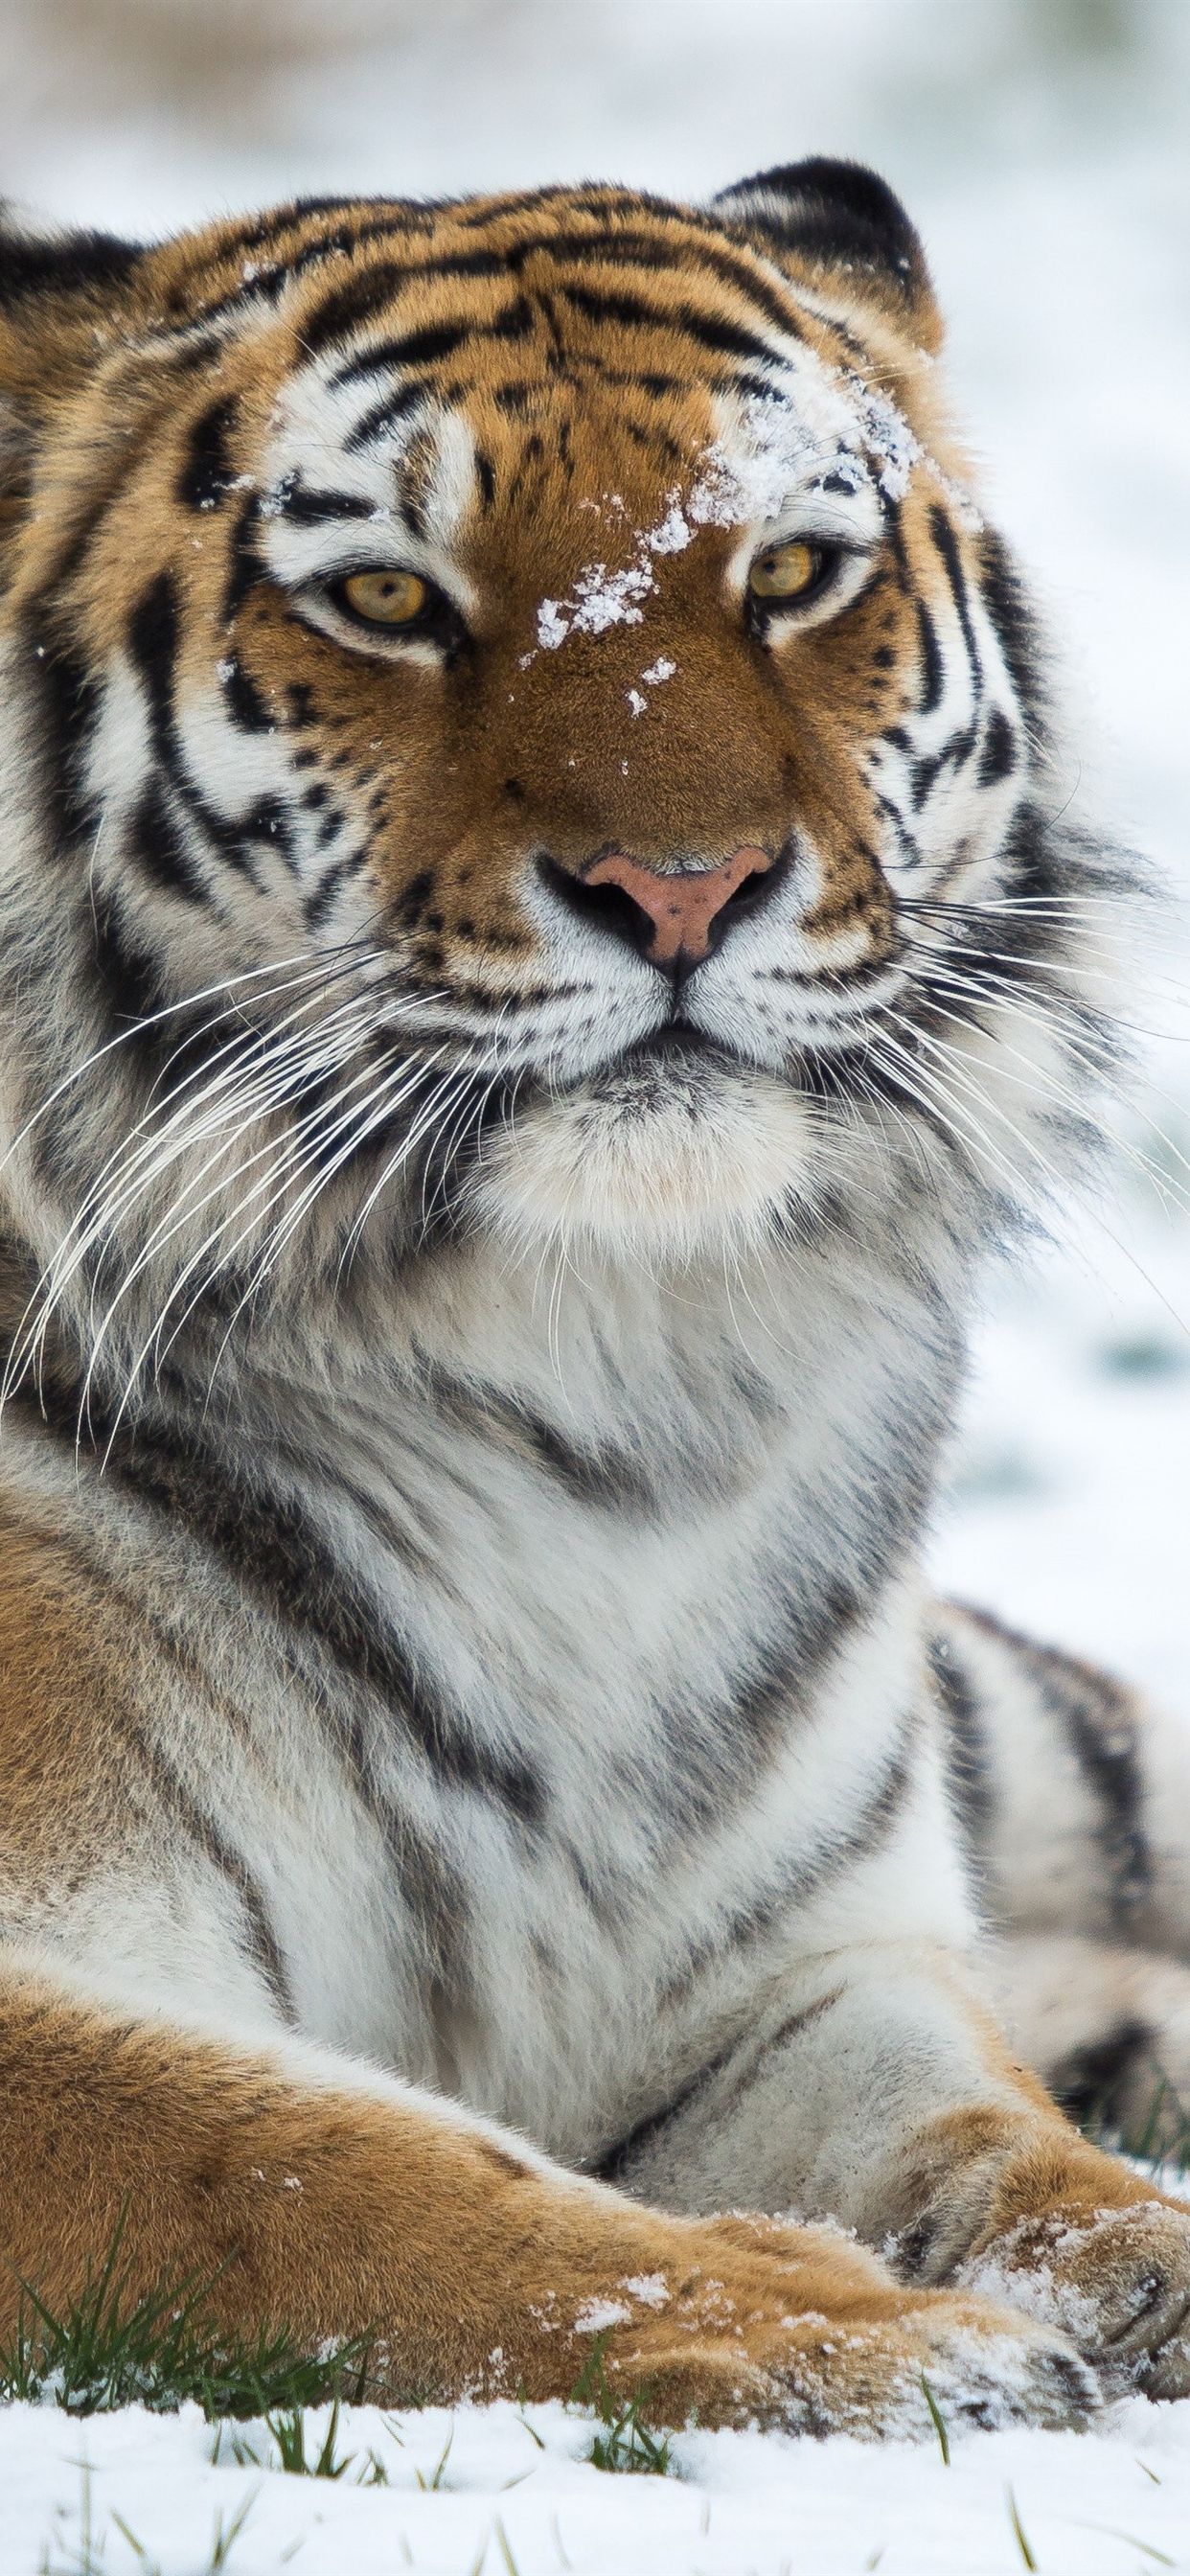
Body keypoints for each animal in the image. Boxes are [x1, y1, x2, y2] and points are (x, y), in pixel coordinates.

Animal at [0, 155, 1188, 2443]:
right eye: (389, 600)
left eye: (791, 571)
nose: (682, 888)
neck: (599, 1383)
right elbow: (308, 2168)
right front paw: (854, 2339)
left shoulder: (796, 1968)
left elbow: (1022, 2146)